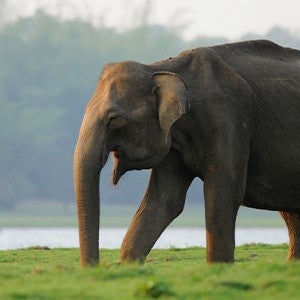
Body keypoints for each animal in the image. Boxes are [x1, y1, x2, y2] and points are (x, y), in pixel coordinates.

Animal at [73, 39, 300, 268]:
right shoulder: (173, 139)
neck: (160, 68)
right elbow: (164, 200)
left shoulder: (228, 118)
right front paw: (131, 265)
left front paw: (218, 268)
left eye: (114, 118)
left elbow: (225, 191)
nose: (93, 269)